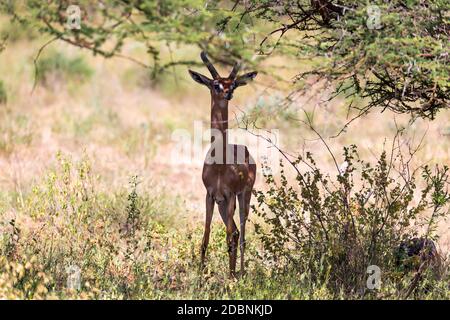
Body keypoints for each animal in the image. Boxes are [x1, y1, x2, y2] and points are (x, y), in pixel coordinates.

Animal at [187, 51, 256, 276]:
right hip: (222, 205)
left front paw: (231, 278)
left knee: (240, 235)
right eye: (216, 84)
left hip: (243, 198)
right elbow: (205, 238)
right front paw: (200, 277)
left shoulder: (230, 194)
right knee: (235, 232)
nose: (228, 94)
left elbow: (229, 238)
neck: (219, 166)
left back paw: (239, 273)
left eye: (233, 85)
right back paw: (234, 272)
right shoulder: (210, 196)